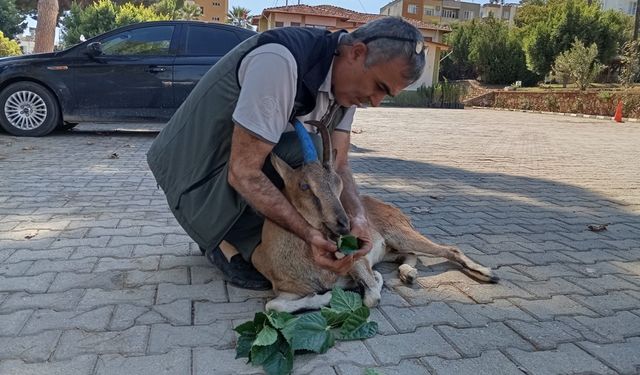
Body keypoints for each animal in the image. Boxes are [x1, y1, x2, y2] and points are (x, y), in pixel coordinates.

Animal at [251, 116, 500, 312]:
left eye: (338, 182)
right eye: (304, 185)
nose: (345, 225)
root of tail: (394, 210)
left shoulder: (357, 261)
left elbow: (372, 296)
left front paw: (366, 282)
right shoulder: (287, 291)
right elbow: (273, 306)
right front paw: (327, 295)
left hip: (399, 234)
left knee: (449, 249)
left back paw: (488, 274)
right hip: (390, 249)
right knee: (410, 254)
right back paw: (408, 274)